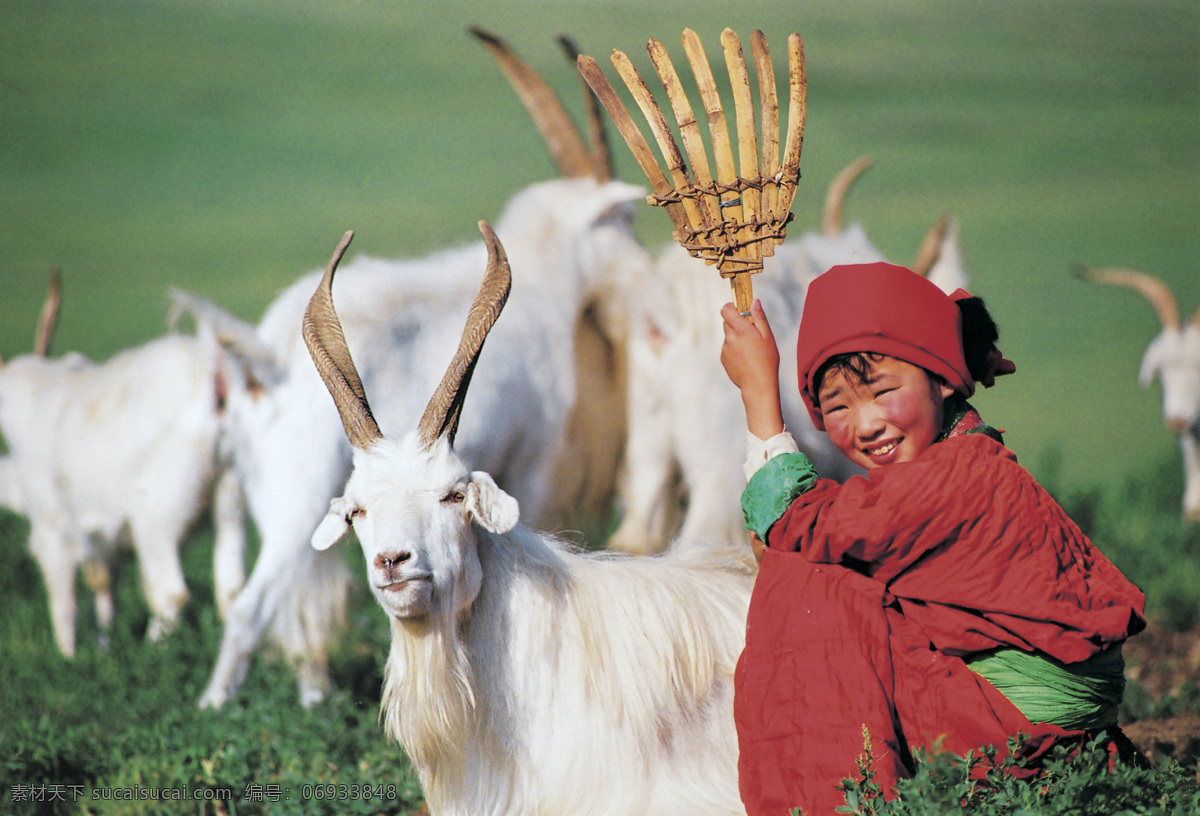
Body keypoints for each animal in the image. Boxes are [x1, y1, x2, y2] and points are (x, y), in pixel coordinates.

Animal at [0, 273, 244, 657]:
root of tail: (212, 368)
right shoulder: (105, 541)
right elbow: (104, 593)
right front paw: (104, 651)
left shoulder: (54, 532)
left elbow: (64, 603)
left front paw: (69, 659)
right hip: (231, 501)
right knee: (231, 591)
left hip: (157, 515)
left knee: (171, 592)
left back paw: (153, 656)